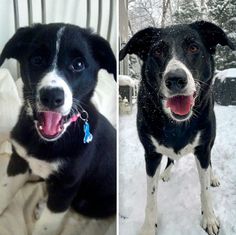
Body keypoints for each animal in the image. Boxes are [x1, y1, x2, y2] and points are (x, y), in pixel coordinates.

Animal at [0, 23, 116, 235]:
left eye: (78, 65)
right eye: (37, 60)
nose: (52, 97)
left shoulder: (67, 185)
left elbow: (46, 224)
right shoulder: (18, 161)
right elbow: (4, 192)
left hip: (86, 202)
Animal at [120, 20, 234, 235]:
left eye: (193, 48)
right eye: (157, 51)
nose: (175, 79)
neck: (177, 124)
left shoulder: (203, 147)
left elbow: (205, 190)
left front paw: (209, 218)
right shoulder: (151, 154)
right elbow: (151, 196)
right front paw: (149, 227)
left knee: (209, 162)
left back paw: (213, 176)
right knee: (170, 159)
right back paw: (166, 172)